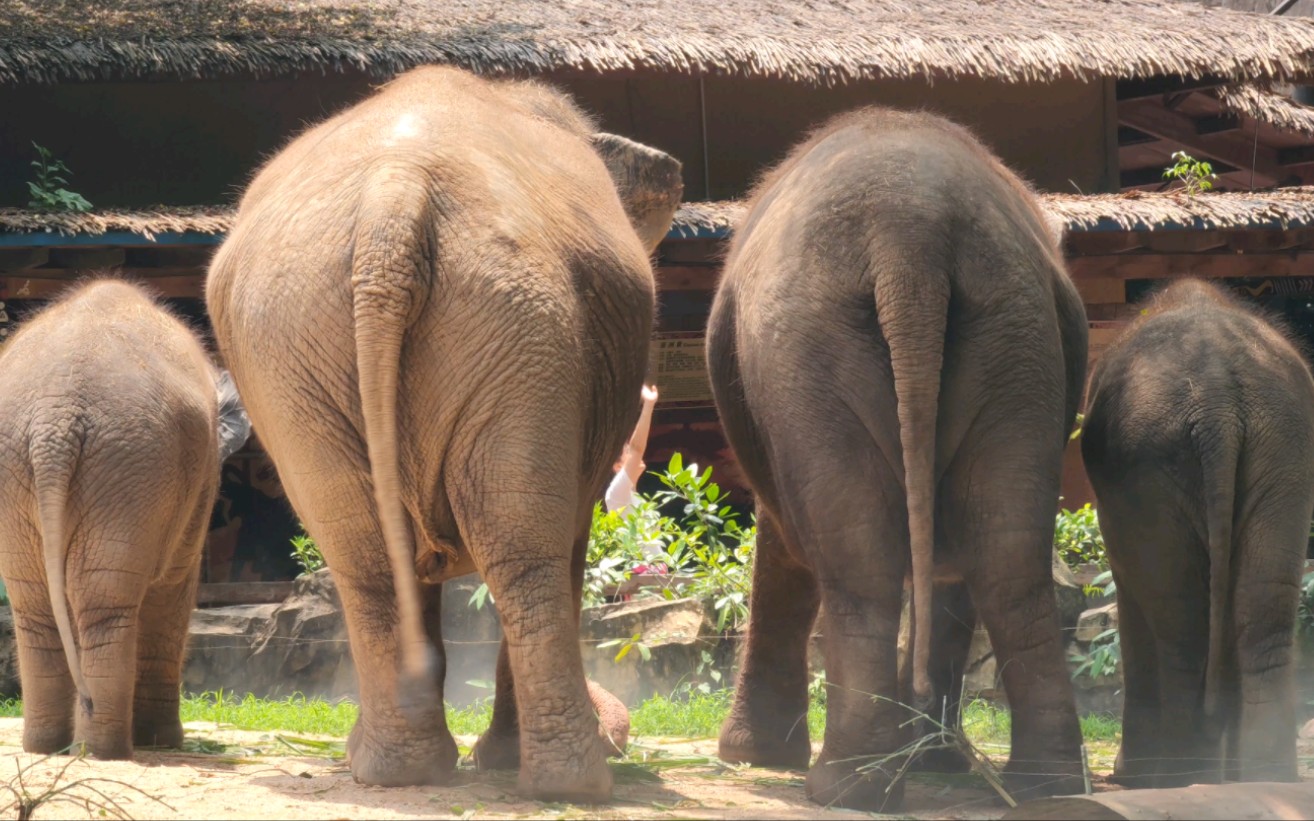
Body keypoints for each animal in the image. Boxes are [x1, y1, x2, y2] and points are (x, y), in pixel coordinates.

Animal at [0, 279, 251, 760]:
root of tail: (54, 419)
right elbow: (174, 587)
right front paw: (164, 742)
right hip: (131, 458)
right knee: (106, 604)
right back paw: (105, 749)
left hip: (62, 465)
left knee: (39, 606)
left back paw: (53, 746)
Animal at [204, 65, 682, 800]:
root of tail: (394, 197)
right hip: (500, 323)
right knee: (520, 552)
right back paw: (552, 781)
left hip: (315, 342)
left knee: (377, 554)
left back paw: (407, 768)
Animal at [705, 106, 1088, 811]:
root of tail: (909, 235)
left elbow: (784, 545)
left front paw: (749, 756)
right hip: (1015, 340)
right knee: (1007, 554)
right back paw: (1039, 784)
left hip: (811, 357)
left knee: (859, 564)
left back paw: (846, 787)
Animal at [1081, 278, 1314, 788]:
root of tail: (1217, 399)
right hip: (1283, 452)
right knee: (1261, 610)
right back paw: (1264, 777)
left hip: (1159, 460)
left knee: (1179, 616)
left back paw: (1178, 775)